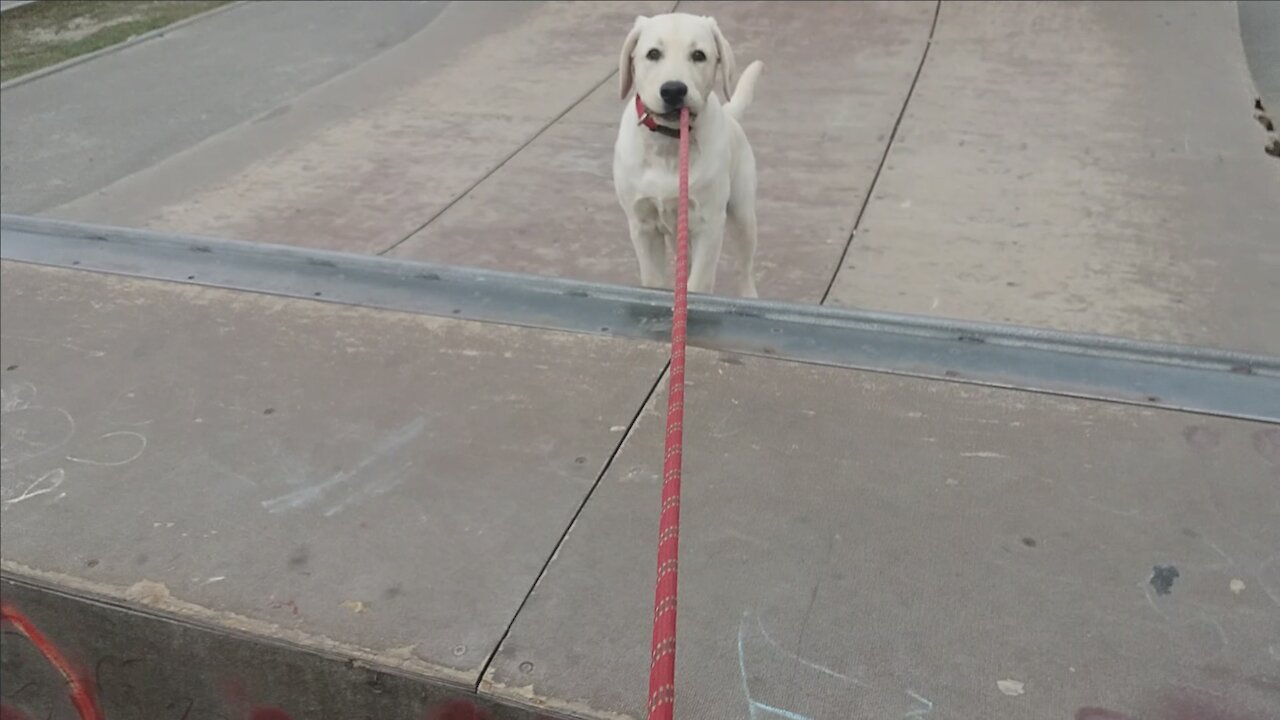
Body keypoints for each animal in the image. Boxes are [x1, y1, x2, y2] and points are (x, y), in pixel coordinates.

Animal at [614, 11, 762, 297]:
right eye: (653, 53)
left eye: (698, 55)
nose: (673, 90)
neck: (670, 143)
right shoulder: (642, 225)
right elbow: (653, 281)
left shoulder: (709, 224)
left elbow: (698, 284)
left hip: (742, 214)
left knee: (744, 267)